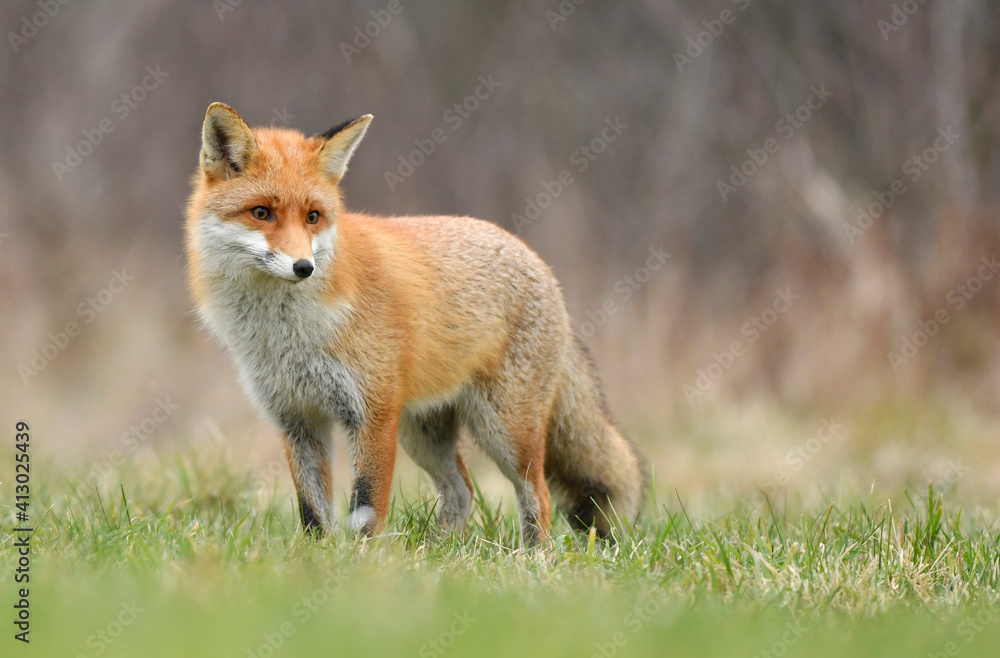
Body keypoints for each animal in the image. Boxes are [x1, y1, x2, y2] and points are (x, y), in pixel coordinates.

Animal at [184, 102, 644, 544]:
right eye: (261, 212)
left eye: (313, 217)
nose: (304, 267)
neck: (284, 335)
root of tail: (538, 261)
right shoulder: (297, 418)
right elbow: (313, 513)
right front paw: (315, 560)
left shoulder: (373, 413)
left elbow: (366, 508)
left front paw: (361, 562)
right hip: (423, 434)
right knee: (462, 490)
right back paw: (440, 551)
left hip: (503, 430)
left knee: (538, 495)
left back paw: (531, 558)